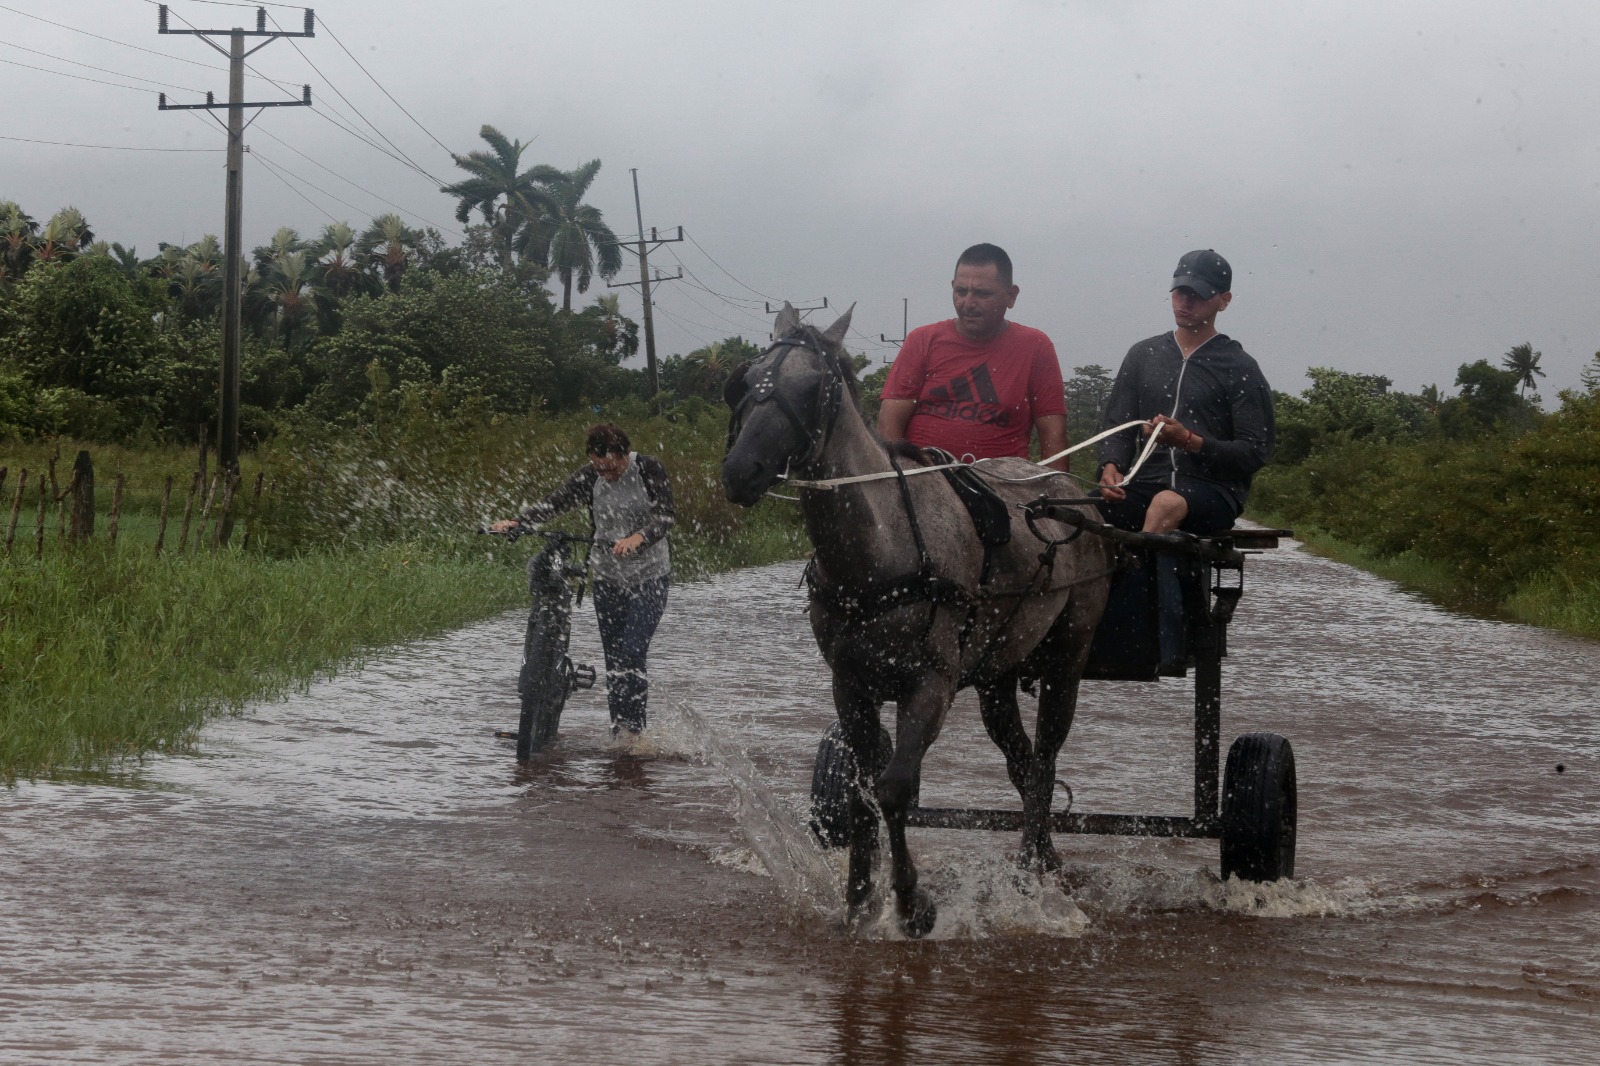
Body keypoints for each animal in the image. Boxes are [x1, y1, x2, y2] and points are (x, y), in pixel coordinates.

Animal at [726, 302, 1113, 934]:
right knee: (1023, 763)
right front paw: (859, 898)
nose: (740, 470)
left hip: (1068, 658)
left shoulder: (931, 684)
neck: (880, 552)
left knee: (1044, 763)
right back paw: (1047, 861)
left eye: (814, 387)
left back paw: (1028, 874)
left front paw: (911, 902)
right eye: (745, 379)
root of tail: (1063, 489)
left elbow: (894, 789)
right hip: (995, 675)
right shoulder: (850, 685)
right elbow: (860, 792)